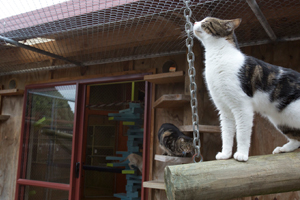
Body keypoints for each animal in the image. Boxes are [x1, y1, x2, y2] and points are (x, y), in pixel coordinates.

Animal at [193, 16, 300, 162]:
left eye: (206, 22)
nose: (194, 22)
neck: (218, 55)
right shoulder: (224, 109)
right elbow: (226, 133)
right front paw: (225, 154)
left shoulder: (242, 106)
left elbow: (242, 133)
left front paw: (242, 154)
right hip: (281, 120)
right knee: (297, 139)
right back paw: (283, 149)